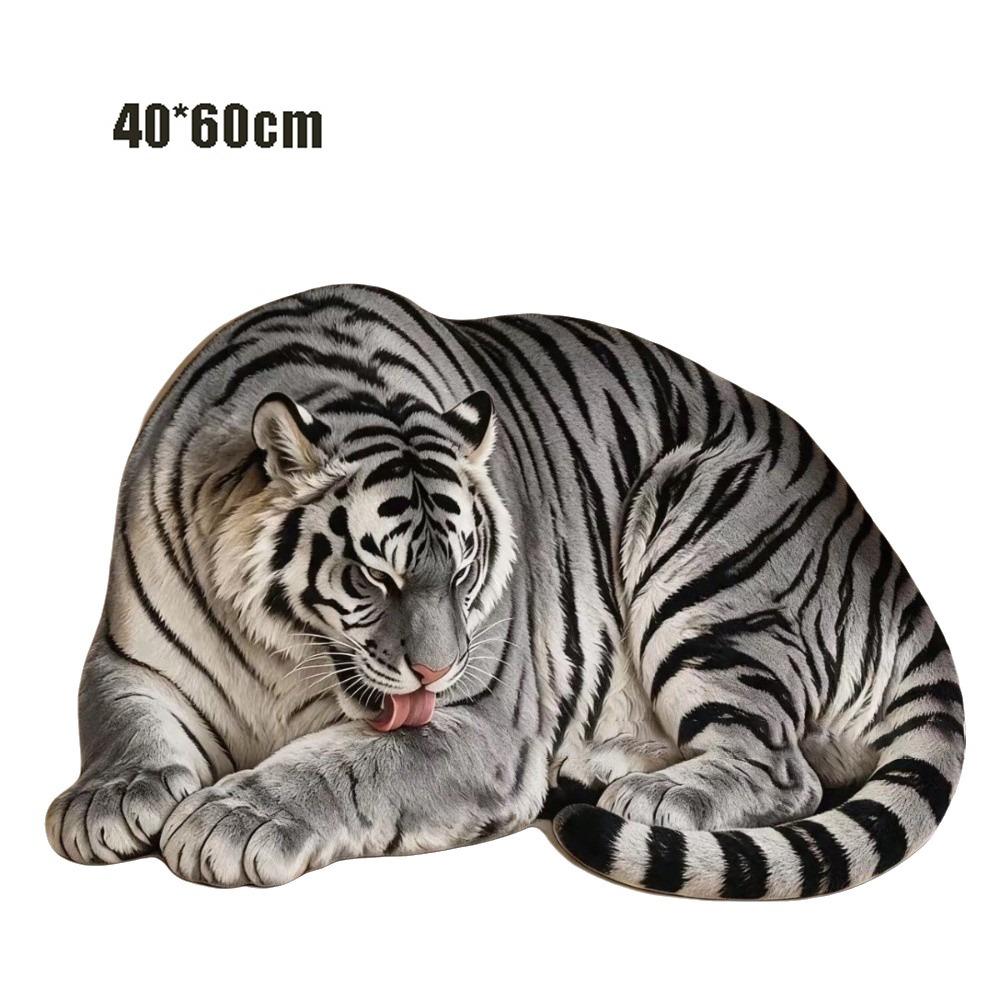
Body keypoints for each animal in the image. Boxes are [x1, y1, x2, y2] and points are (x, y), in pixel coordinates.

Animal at [45, 283, 964, 897]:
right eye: (372, 576)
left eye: (462, 572)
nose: (435, 671)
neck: (279, 650)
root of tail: (891, 567)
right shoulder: (125, 656)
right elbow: (120, 720)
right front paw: (107, 802)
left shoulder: (483, 723)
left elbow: (351, 761)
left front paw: (234, 817)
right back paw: (604, 761)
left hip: (706, 548)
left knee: (784, 766)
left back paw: (655, 793)